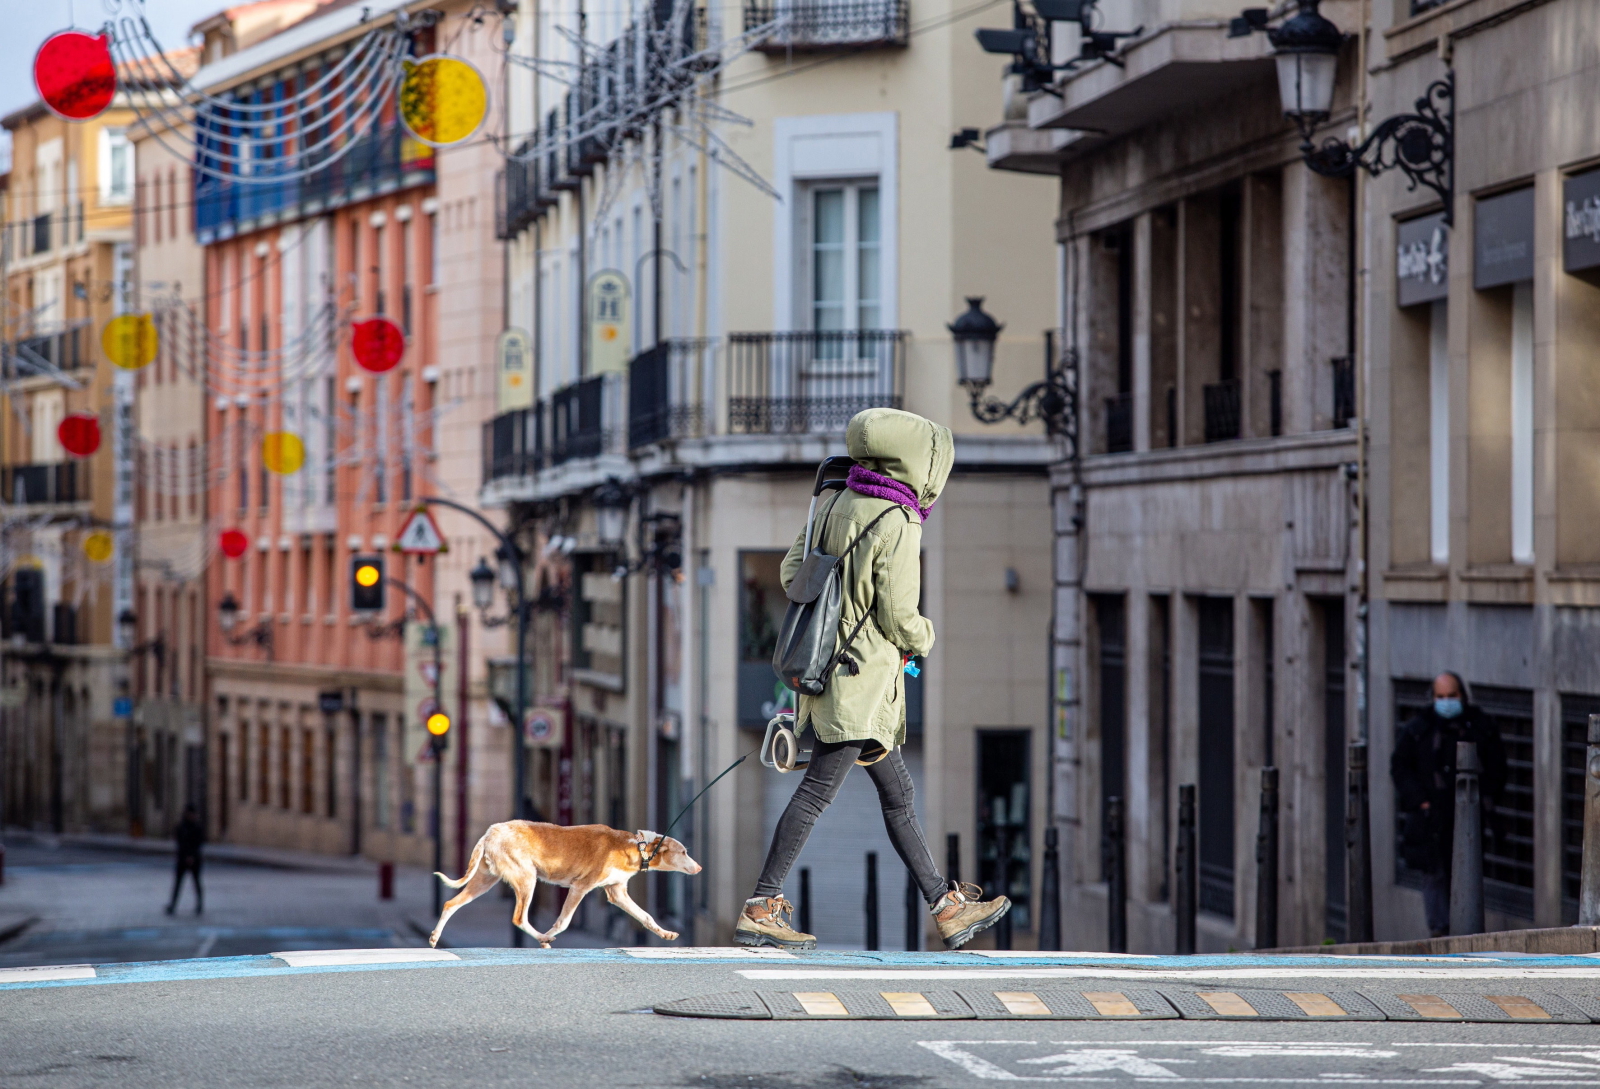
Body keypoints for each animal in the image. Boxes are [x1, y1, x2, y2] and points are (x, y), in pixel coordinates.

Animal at [432, 815, 700, 940]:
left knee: (450, 903)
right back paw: (542, 938)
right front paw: (551, 933)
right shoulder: (580, 887)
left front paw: (665, 934)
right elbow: (563, 921)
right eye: (684, 852)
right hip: (527, 878)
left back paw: (435, 937)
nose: (699, 868)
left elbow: (646, 916)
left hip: (485, 880)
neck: (636, 846)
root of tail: (490, 832)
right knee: (520, 918)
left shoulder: (617, 892)